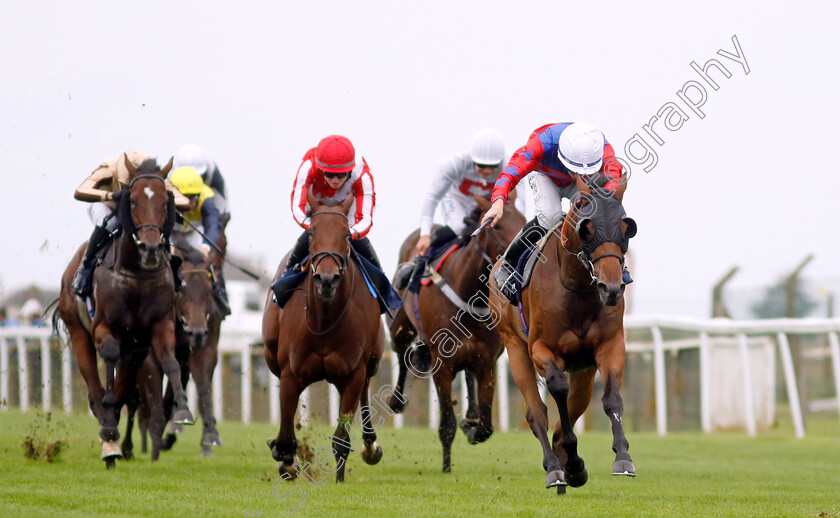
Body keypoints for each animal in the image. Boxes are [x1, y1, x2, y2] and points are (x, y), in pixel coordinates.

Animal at [57, 154, 194, 468]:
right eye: (132, 200)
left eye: (165, 202)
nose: (151, 247)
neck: (137, 275)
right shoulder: (104, 328)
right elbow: (108, 357)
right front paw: (109, 427)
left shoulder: (159, 328)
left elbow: (170, 362)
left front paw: (182, 410)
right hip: (78, 333)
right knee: (95, 387)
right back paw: (108, 438)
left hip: (136, 351)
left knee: (125, 390)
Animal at [260, 193, 386, 486]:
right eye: (312, 233)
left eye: (346, 235)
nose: (327, 280)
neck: (325, 321)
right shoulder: (290, 373)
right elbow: (286, 434)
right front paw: (287, 459)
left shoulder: (353, 374)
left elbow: (342, 439)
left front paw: (339, 480)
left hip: (372, 361)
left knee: (366, 392)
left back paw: (371, 445)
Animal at [388, 195, 520, 476]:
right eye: (497, 226)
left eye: (524, 219)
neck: (468, 293)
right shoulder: (442, 365)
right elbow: (447, 423)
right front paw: (446, 467)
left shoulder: (487, 363)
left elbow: (486, 426)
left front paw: (471, 425)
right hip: (399, 327)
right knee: (402, 354)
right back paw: (396, 401)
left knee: (467, 375)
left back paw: (470, 414)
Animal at [492, 175, 636, 496]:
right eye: (587, 228)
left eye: (626, 227)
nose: (611, 288)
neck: (577, 288)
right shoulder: (540, 349)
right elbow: (557, 389)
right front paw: (569, 461)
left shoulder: (610, 346)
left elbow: (612, 399)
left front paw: (622, 457)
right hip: (514, 346)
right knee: (537, 413)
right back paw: (555, 468)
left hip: (584, 370)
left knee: (575, 406)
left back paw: (569, 467)